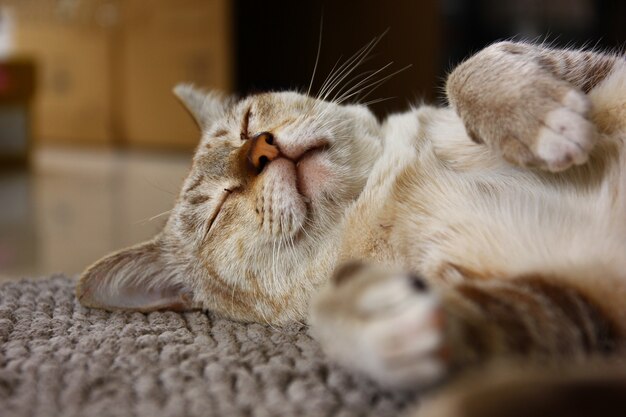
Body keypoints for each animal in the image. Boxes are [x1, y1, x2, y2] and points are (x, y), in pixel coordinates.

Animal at [77, 40, 624, 412]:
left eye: (248, 121)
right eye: (217, 210)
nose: (260, 149)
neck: (378, 187)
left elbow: (468, 70)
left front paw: (537, 119)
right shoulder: (571, 311)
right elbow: (339, 318)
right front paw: (375, 318)